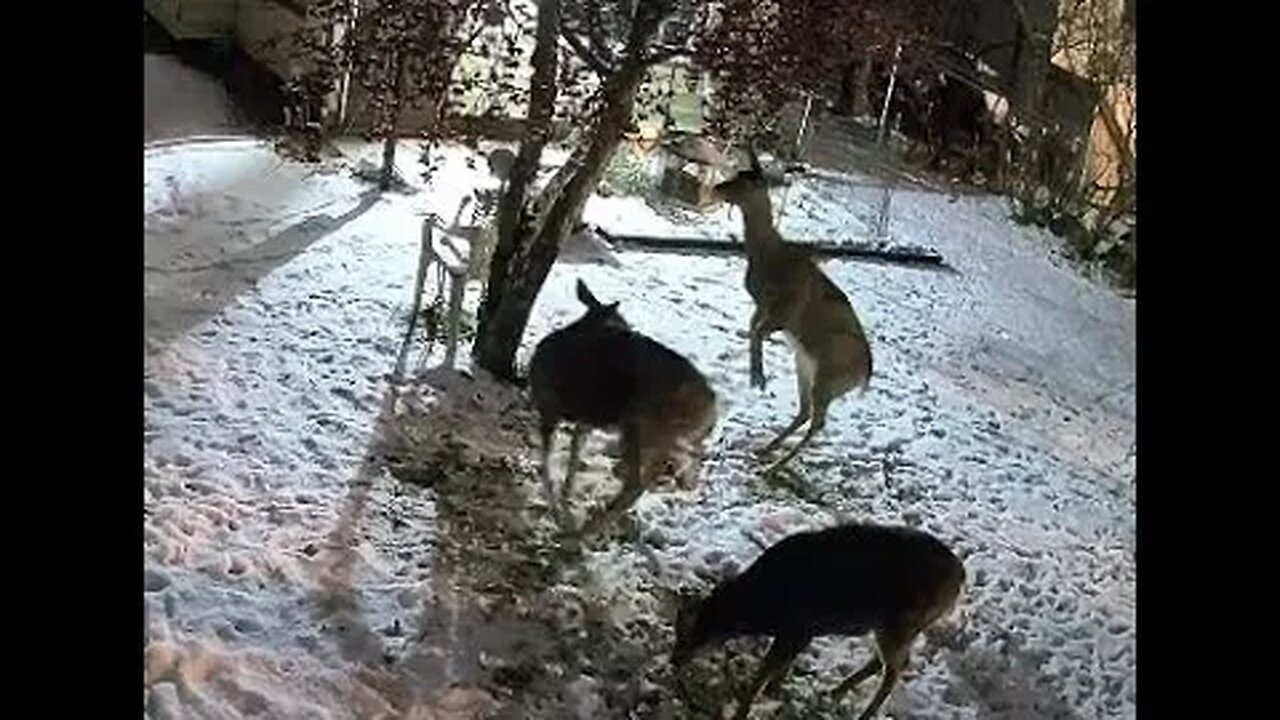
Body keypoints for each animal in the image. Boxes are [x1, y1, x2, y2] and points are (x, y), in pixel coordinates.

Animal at [524, 278, 716, 535]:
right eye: (621, 321)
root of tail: (708, 407)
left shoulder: (548, 405)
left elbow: (546, 461)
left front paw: (557, 511)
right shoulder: (585, 418)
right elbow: (574, 452)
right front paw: (567, 494)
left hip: (639, 424)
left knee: (636, 483)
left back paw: (590, 527)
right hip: (664, 437)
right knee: (677, 469)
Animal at [670, 520, 962, 717]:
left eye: (689, 635)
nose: (673, 660)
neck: (760, 606)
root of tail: (960, 577)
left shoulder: (797, 627)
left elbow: (764, 670)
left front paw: (744, 709)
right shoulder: (802, 632)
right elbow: (780, 666)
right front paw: (774, 690)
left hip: (901, 621)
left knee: (895, 668)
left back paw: (863, 712)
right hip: (897, 625)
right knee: (883, 662)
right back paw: (836, 691)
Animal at [716, 146, 875, 474]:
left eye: (748, 180)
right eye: (738, 172)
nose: (717, 188)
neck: (769, 256)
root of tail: (864, 375)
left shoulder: (784, 312)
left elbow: (758, 332)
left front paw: (758, 378)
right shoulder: (763, 307)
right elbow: (752, 328)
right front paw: (757, 377)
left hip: (828, 378)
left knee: (818, 421)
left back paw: (773, 466)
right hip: (805, 365)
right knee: (805, 411)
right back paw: (765, 449)